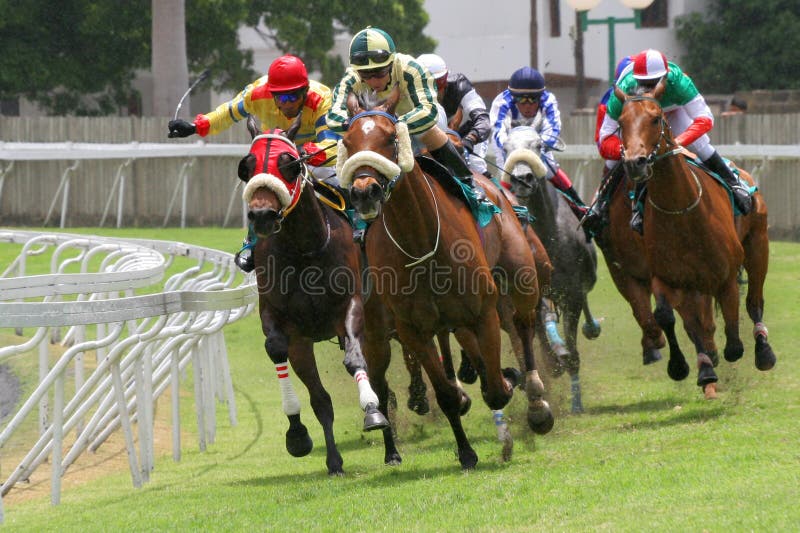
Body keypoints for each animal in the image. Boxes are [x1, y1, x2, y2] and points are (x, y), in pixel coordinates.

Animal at [234, 117, 388, 474]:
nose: (262, 215)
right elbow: (280, 353)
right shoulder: (285, 324)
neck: (304, 249)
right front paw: (298, 435)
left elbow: (354, 358)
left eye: (289, 165)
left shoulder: (349, 306)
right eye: (246, 167)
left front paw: (371, 410)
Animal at [338, 89, 552, 468]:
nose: (364, 192)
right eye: (348, 142)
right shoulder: (413, 329)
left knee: (524, 325)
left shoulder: (482, 311)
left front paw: (508, 383)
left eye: (391, 138)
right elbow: (447, 393)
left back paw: (536, 400)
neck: (419, 238)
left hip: (521, 278)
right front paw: (466, 450)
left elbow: (496, 390)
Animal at [612, 83, 776, 396]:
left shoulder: (726, 277)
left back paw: (763, 350)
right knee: (695, 322)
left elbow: (733, 335)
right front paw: (686, 367)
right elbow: (669, 317)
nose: (635, 163)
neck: (682, 213)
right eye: (621, 123)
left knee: (755, 301)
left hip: (757, 246)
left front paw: (727, 354)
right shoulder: (667, 279)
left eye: (655, 118)